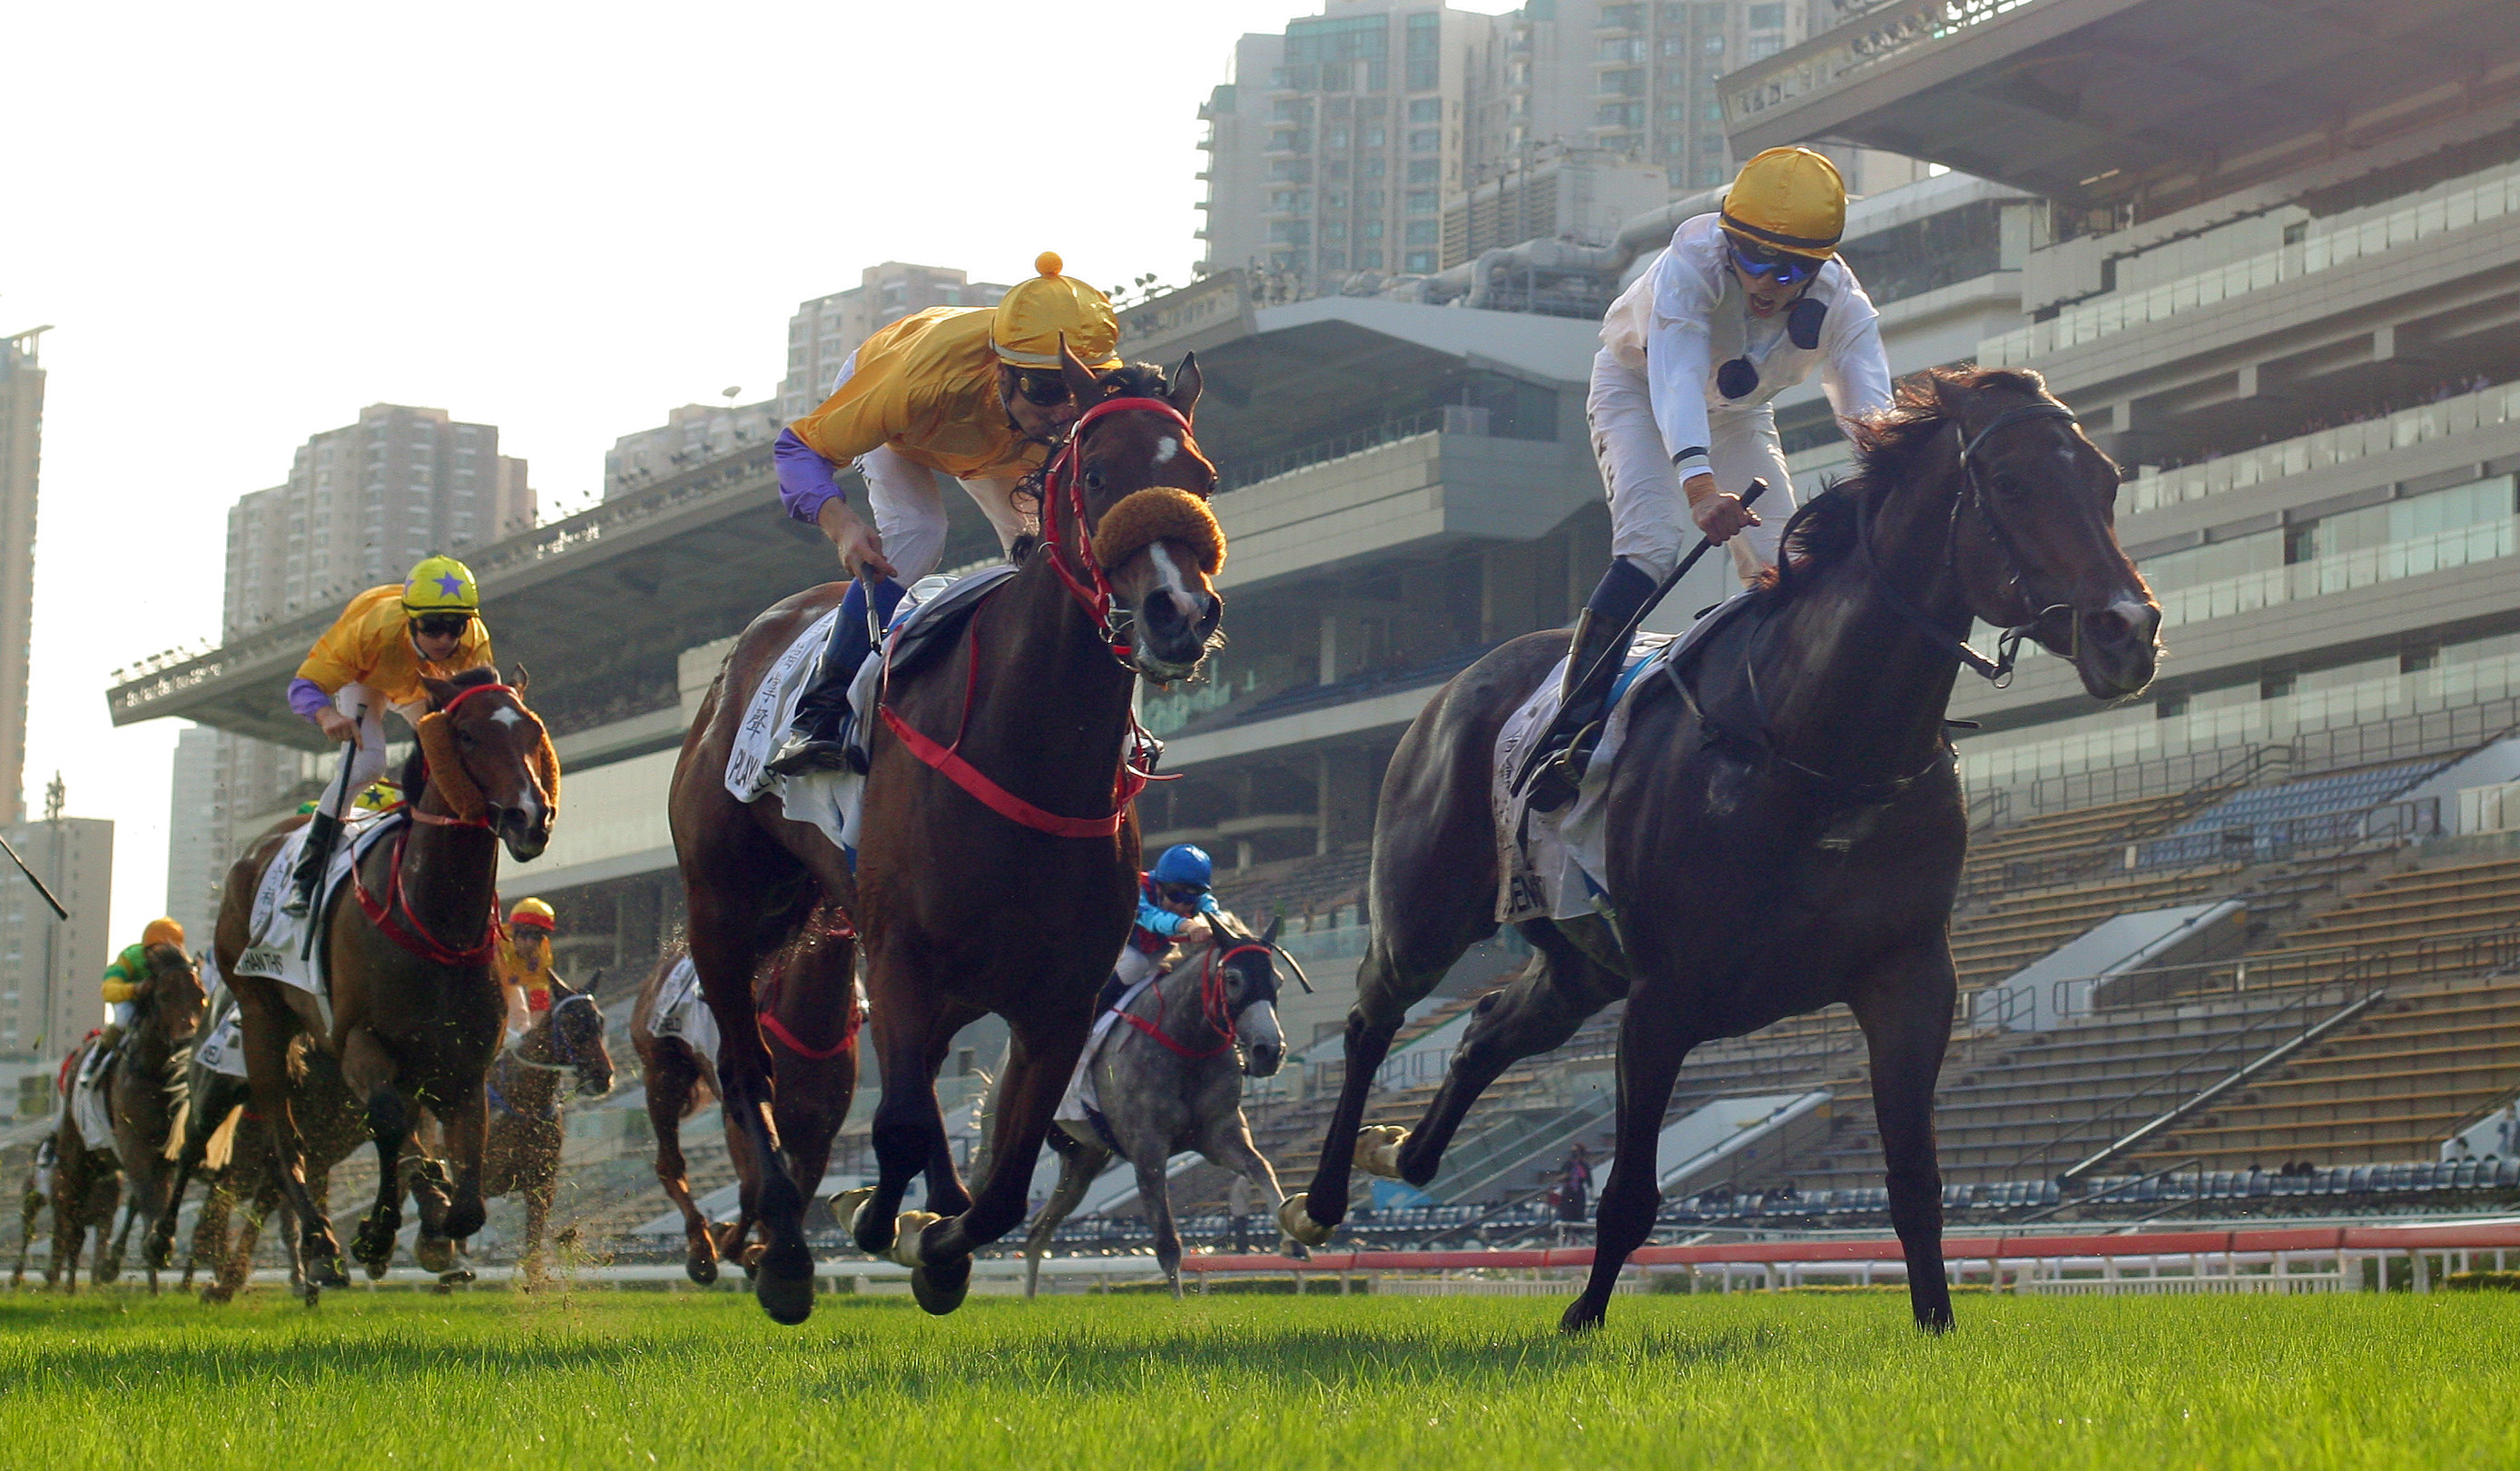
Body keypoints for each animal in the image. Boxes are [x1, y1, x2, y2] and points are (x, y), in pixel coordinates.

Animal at [670, 347, 1219, 1319]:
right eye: (1097, 475)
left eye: (1200, 477)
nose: (1178, 613)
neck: (1029, 749)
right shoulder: (900, 958)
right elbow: (896, 1123)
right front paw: (866, 1230)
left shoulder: (1059, 999)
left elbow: (1002, 1182)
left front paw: (935, 1243)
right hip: (723, 904)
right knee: (746, 1070)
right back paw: (782, 1247)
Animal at [1018, 916, 1300, 1299]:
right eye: (1233, 979)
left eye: (1277, 980)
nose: (1269, 1051)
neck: (1187, 1043)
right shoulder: (1147, 1148)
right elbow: (1167, 1243)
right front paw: (1178, 1305)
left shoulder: (1219, 1136)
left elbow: (1261, 1167)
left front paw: (1292, 1240)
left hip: (1083, 1162)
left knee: (1038, 1231)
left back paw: (1029, 1299)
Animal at [1290, 368, 2157, 1329]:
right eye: (2010, 484)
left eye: (2108, 482)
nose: (2129, 628)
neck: (1822, 747)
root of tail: (1455, 686)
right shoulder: (1663, 998)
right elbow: (1629, 1196)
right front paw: (1580, 1320)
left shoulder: (1912, 977)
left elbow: (1915, 1184)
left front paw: (1937, 1325)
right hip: (1426, 915)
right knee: (1371, 1020)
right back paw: (1318, 1202)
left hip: (1579, 965)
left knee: (1484, 1031)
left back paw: (1394, 1151)